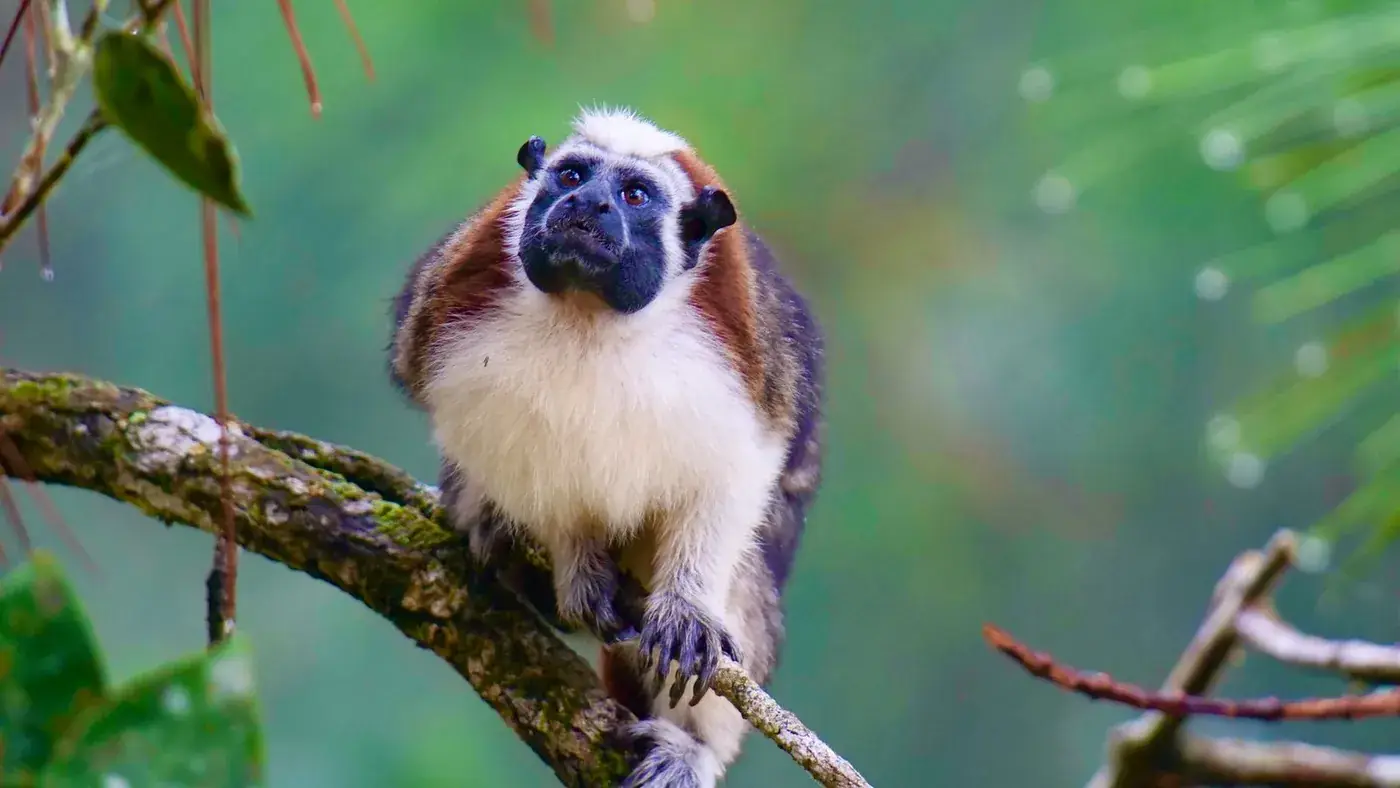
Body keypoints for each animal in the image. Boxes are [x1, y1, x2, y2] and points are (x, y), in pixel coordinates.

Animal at [388, 107, 825, 787]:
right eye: (572, 176)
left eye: (634, 196)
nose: (587, 203)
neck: (586, 313)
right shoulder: (451, 305)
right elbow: (517, 463)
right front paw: (577, 563)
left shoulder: (746, 349)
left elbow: (740, 469)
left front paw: (685, 608)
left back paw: (690, 745)